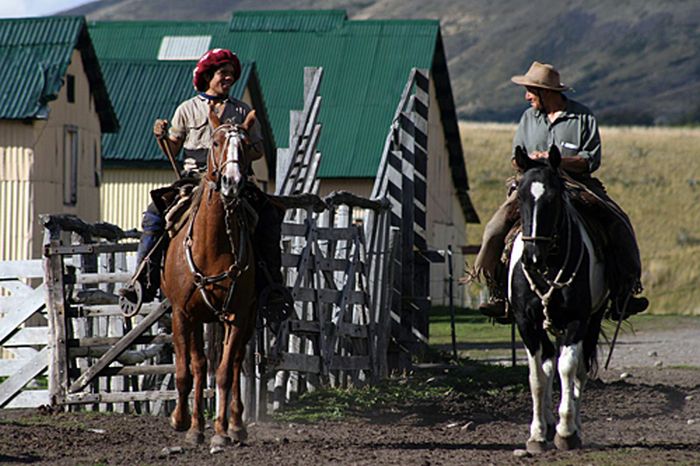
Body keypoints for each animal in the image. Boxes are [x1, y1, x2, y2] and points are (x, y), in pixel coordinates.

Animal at [161, 110, 260, 448]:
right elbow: (188, 370)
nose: (232, 182)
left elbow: (225, 372)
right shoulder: (182, 313)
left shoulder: (238, 315)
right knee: (197, 364)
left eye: (247, 145)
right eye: (216, 142)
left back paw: (236, 425)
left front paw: (219, 432)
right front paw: (186, 424)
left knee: (234, 361)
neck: (211, 245)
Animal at [508, 145, 608, 452]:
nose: (532, 256)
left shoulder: (577, 320)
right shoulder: (526, 323)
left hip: (592, 321)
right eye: (520, 195)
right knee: (550, 364)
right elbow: (537, 376)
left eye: (553, 196)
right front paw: (538, 433)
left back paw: (573, 426)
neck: (548, 265)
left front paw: (566, 431)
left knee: (578, 371)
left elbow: (568, 369)